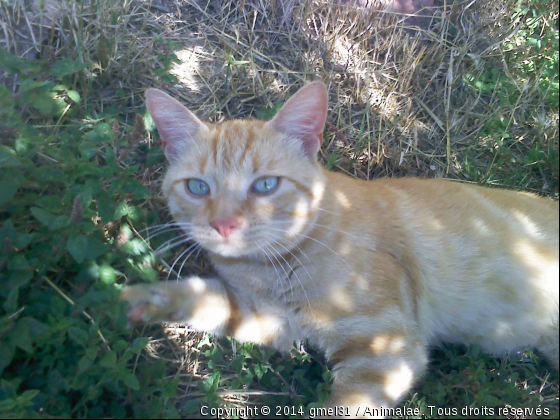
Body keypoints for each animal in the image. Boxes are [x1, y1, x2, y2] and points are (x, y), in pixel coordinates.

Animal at [121, 81, 560, 416]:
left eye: (265, 185)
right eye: (198, 187)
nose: (224, 224)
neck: (271, 268)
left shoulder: (384, 350)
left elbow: (340, 408)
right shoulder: (270, 318)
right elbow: (211, 302)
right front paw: (146, 298)